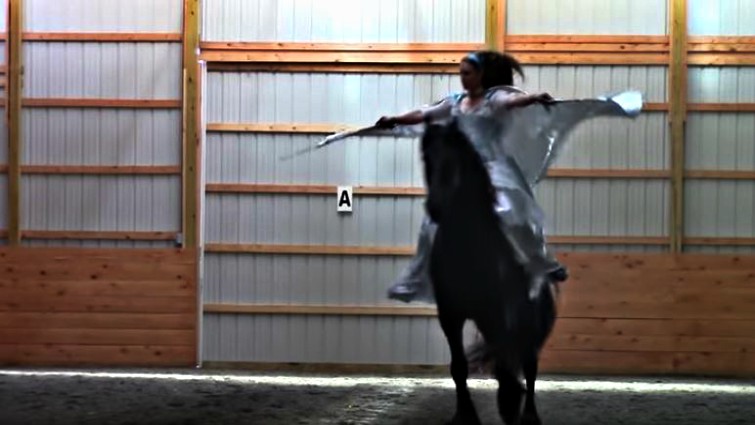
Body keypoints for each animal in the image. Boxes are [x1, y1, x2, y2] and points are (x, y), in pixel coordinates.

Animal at [421, 118, 558, 425]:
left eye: (456, 160)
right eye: (426, 159)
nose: (435, 207)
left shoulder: (499, 314)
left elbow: (507, 367)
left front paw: (509, 405)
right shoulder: (450, 315)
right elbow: (459, 366)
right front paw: (465, 414)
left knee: (528, 364)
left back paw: (529, 414)